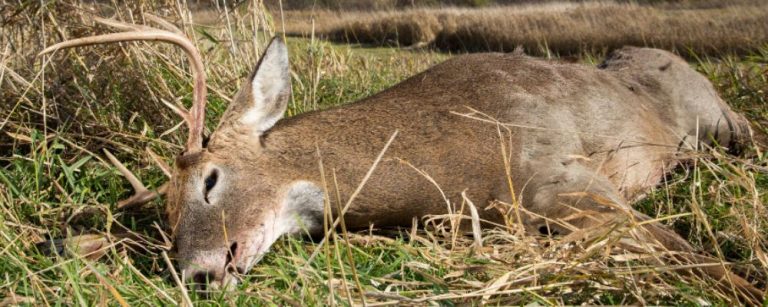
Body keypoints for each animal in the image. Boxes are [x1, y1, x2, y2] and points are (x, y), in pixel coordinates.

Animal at [42, 15, 760, 304]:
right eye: (163, 218)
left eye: (211, 180)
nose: (193, 272)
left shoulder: (561, 173)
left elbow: (688, 254)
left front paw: (748, 285)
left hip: (724, 119)